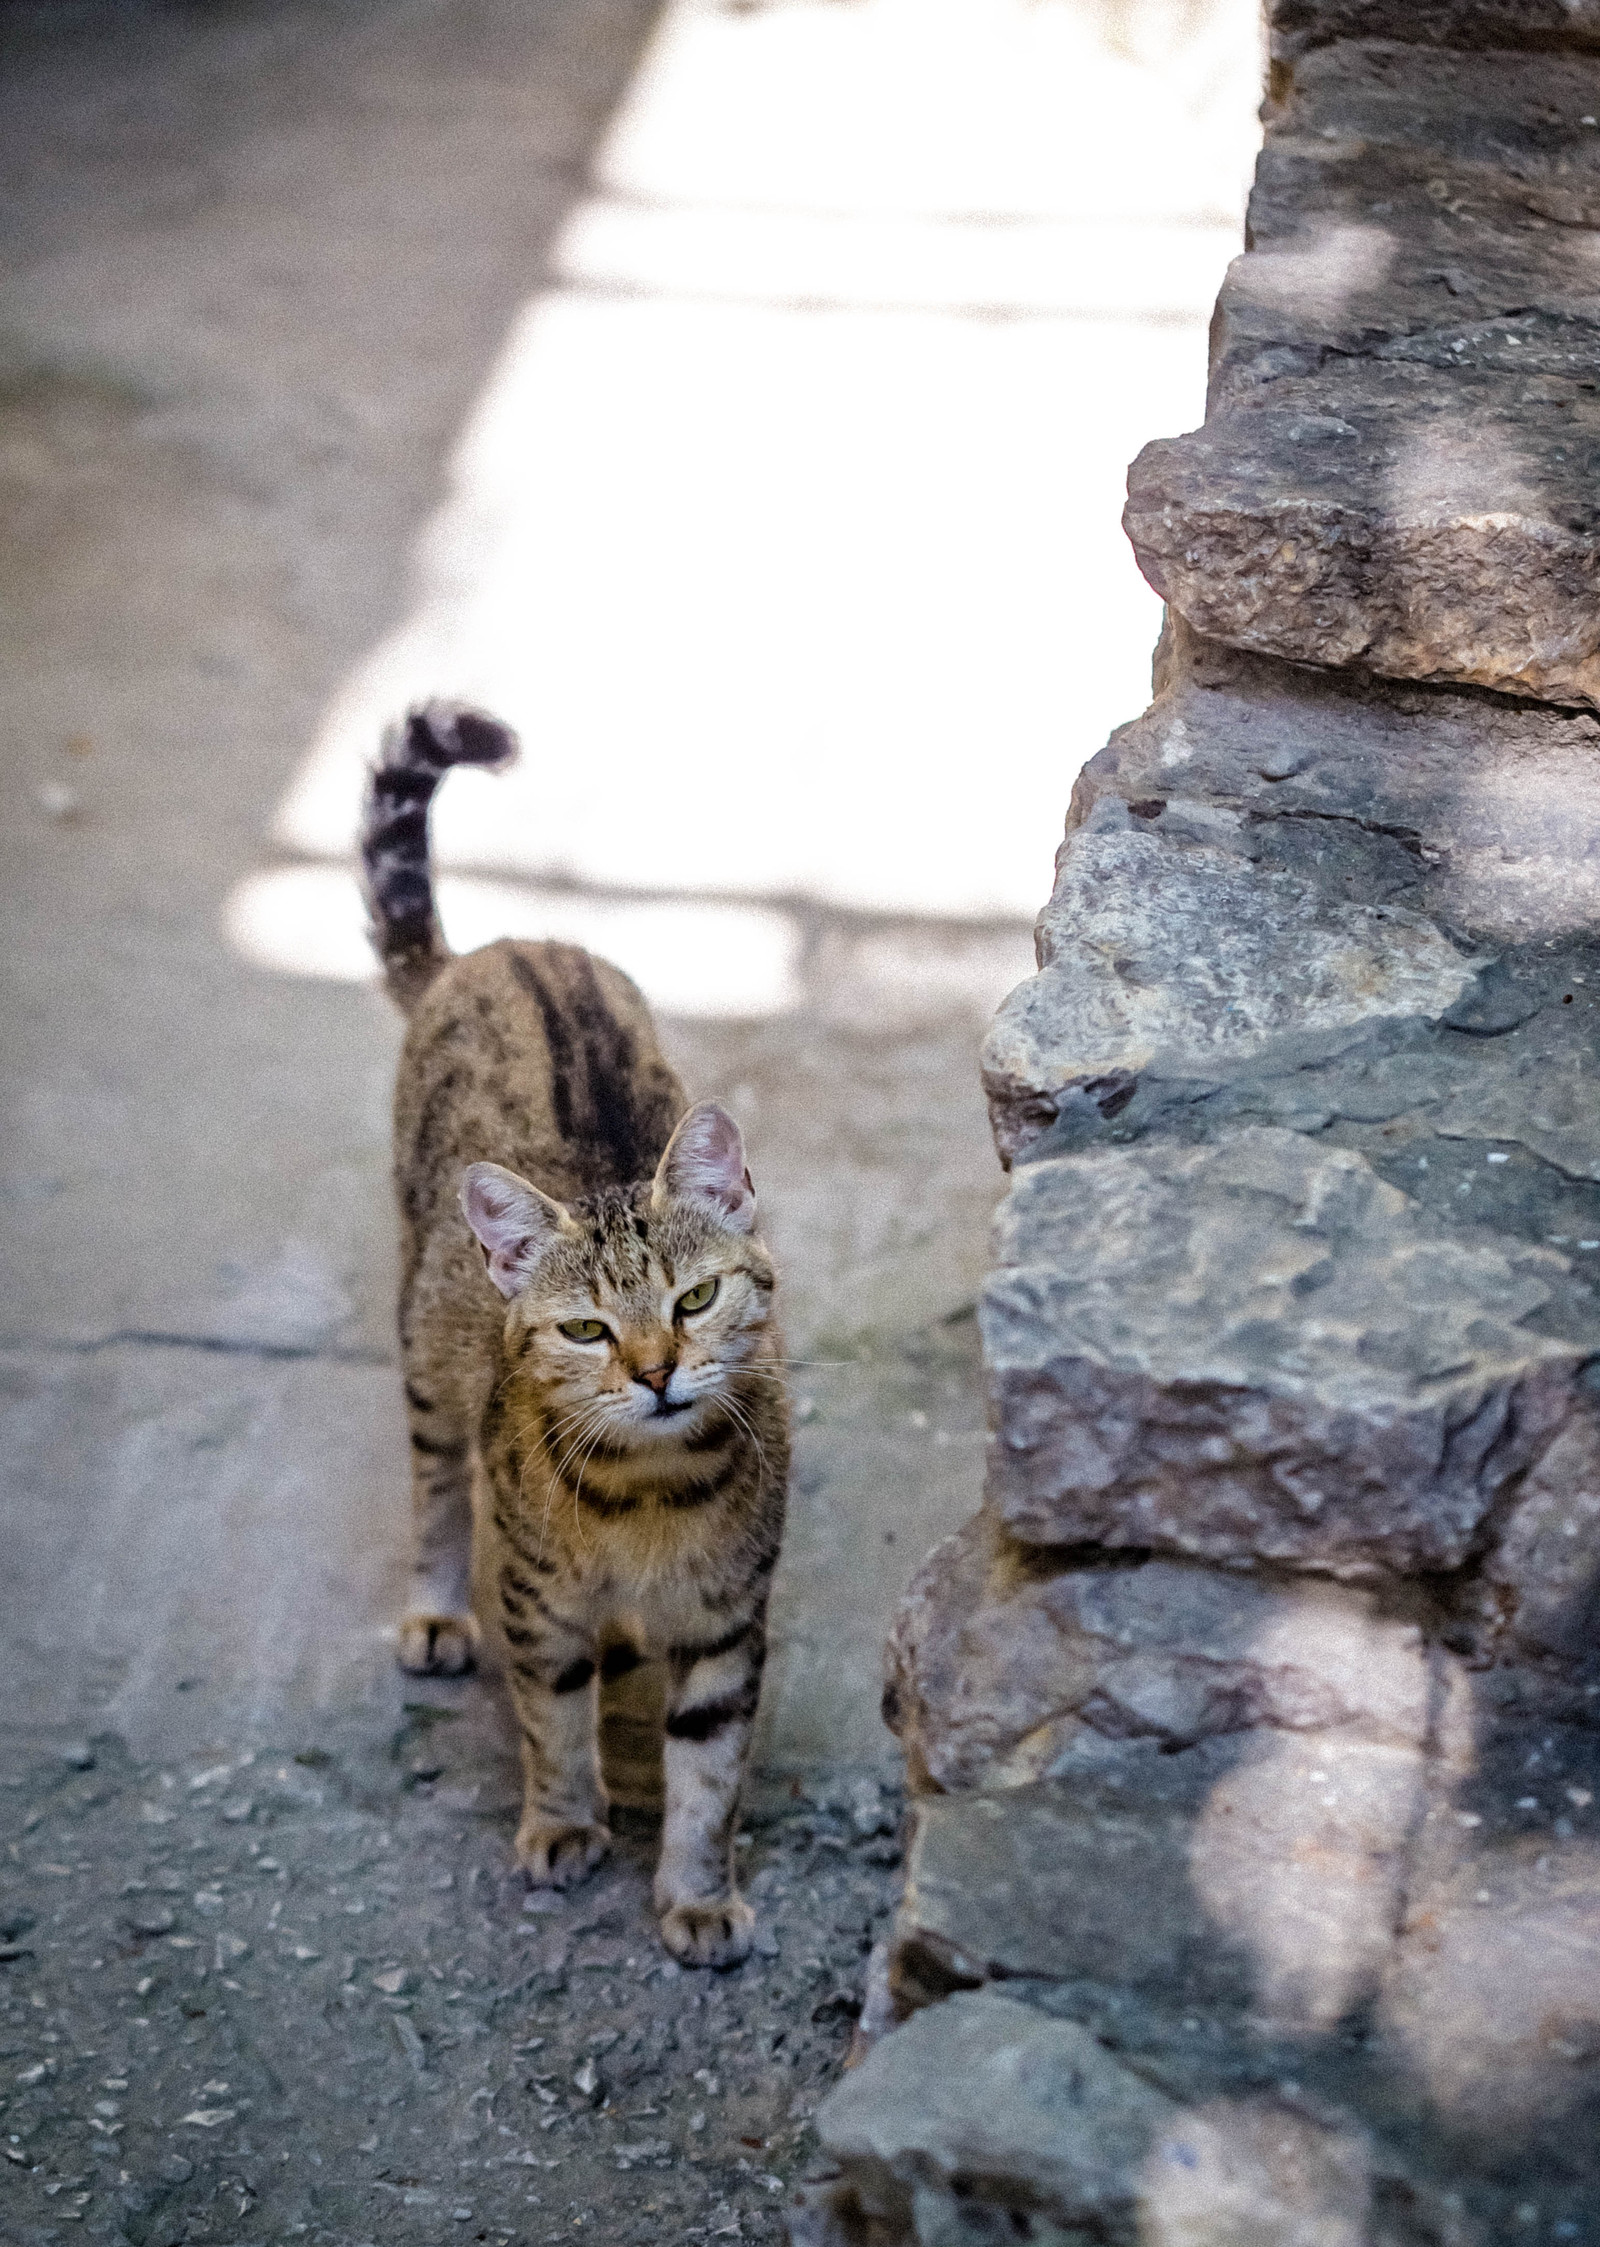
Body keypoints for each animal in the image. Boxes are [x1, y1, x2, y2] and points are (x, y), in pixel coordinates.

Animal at [361, 705, 786, 1968]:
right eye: (589, 1328)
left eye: (694, 1301)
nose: (654, 1372)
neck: (647, 1500)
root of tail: (505, 944)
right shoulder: (538, 1603)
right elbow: (551, 1721)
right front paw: (561, 1824)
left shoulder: (731, 1620)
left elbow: (710, 1774)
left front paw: (696, 1893)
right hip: (424, 1356)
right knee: (435, 1488)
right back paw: (435, 1611)